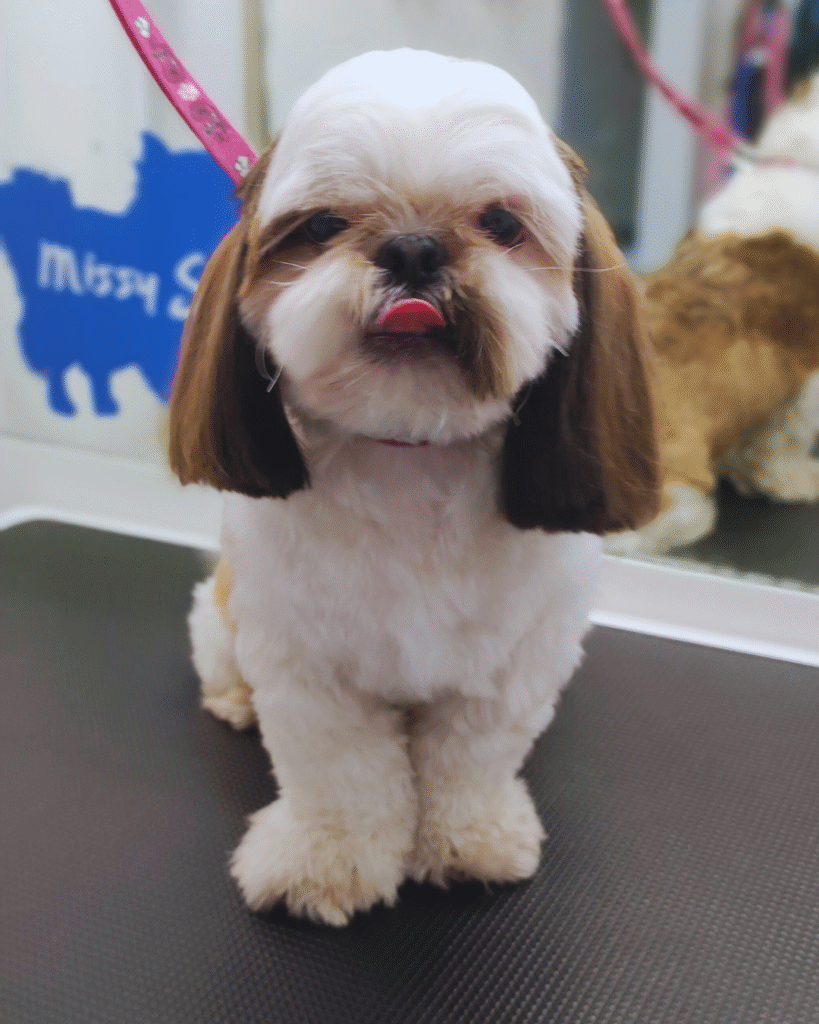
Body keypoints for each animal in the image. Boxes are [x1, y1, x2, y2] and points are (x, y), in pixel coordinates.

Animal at [169, 49, 659, 925]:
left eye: (501, 223)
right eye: (321, 226)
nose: (412, 250)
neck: (410, 450)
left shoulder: (509, 667)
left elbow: (469, 762)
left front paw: (469, 842)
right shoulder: (306, 665)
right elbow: (340, 772)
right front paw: (324, 861)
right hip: (220, 620)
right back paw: (233, 703)